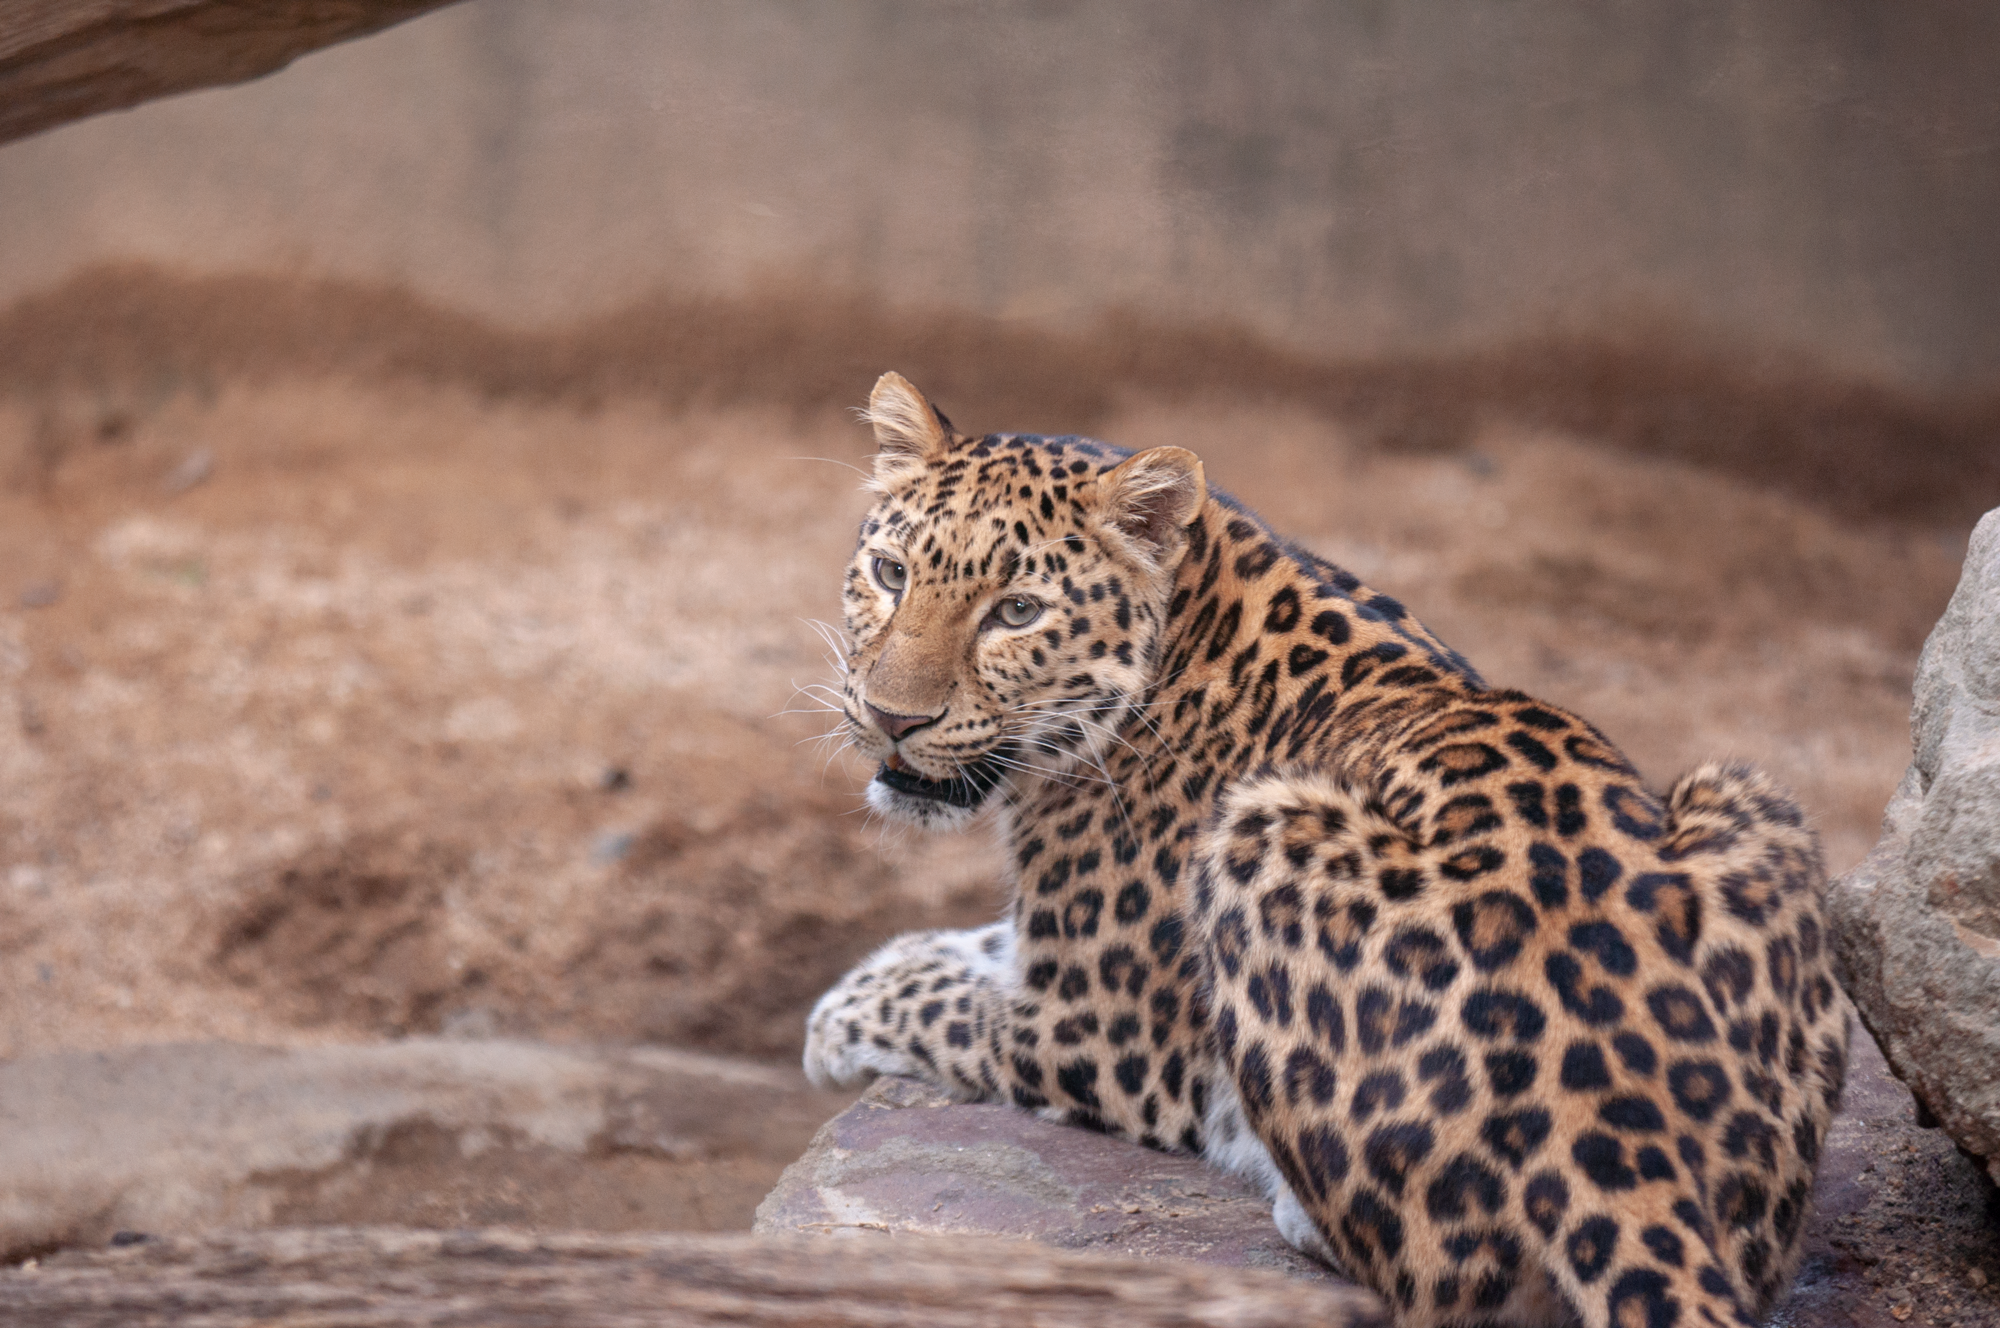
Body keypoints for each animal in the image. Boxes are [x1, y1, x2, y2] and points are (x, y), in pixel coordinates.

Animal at [796, 374, 1840, 1328]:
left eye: (1016, 612)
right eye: (890, 574)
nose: (891, 717)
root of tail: (1623, 1128)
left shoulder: (1095, 1026)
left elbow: (951, 1009)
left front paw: (841, 1018)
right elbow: (974, 948)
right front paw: (882, 967)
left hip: (1259, 830)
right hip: (1754, 804)